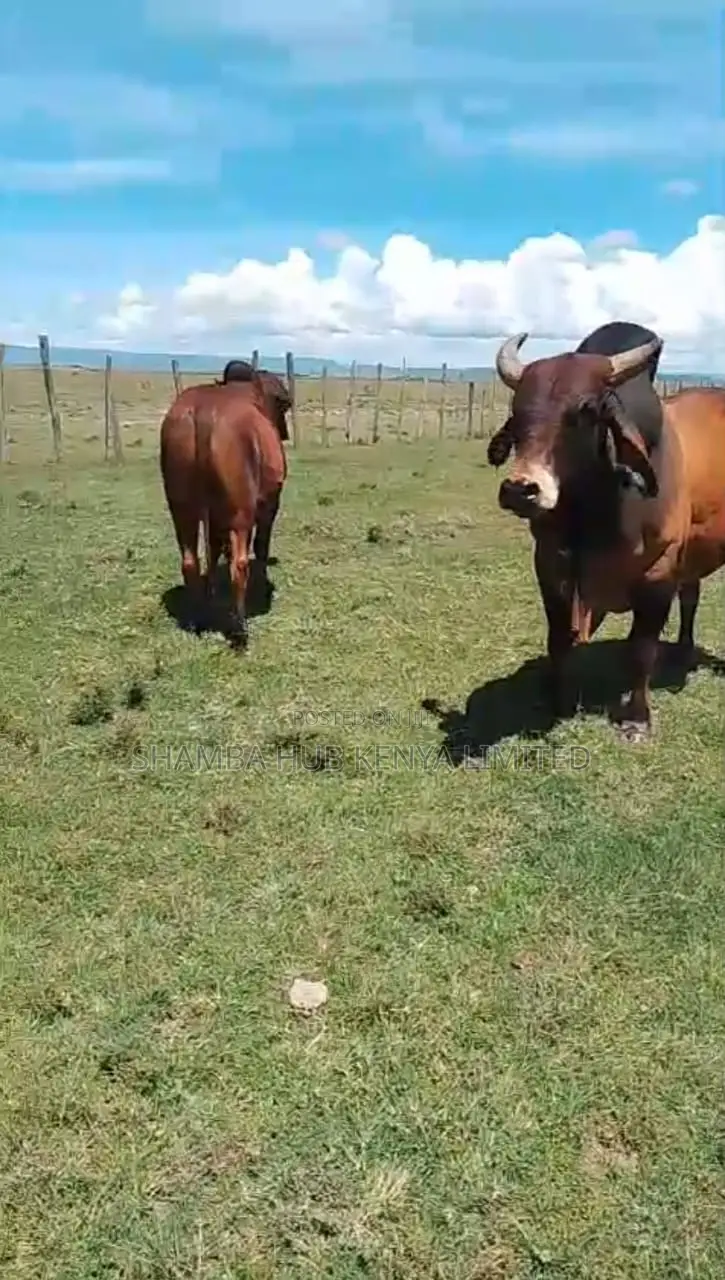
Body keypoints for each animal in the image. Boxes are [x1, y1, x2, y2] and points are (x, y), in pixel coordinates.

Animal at [160, 362, 288, 647]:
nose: (284, 433)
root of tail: (204, 412)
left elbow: (215, 548)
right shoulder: (269, 506)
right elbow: (260, 548)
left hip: (181, 509)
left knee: (190, 560)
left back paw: (197, 617)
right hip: (241, 512)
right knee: (238, 564)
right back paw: (240, 628)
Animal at [486, 321, 725, 742]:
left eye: (586, 410)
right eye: (517, 410)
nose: (520, 489)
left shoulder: (658, 573)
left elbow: (641, 650)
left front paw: (637, 719)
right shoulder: (550, 566)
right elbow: (559, 639)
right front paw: (559, 700)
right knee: (691, 596)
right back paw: (682, 649)